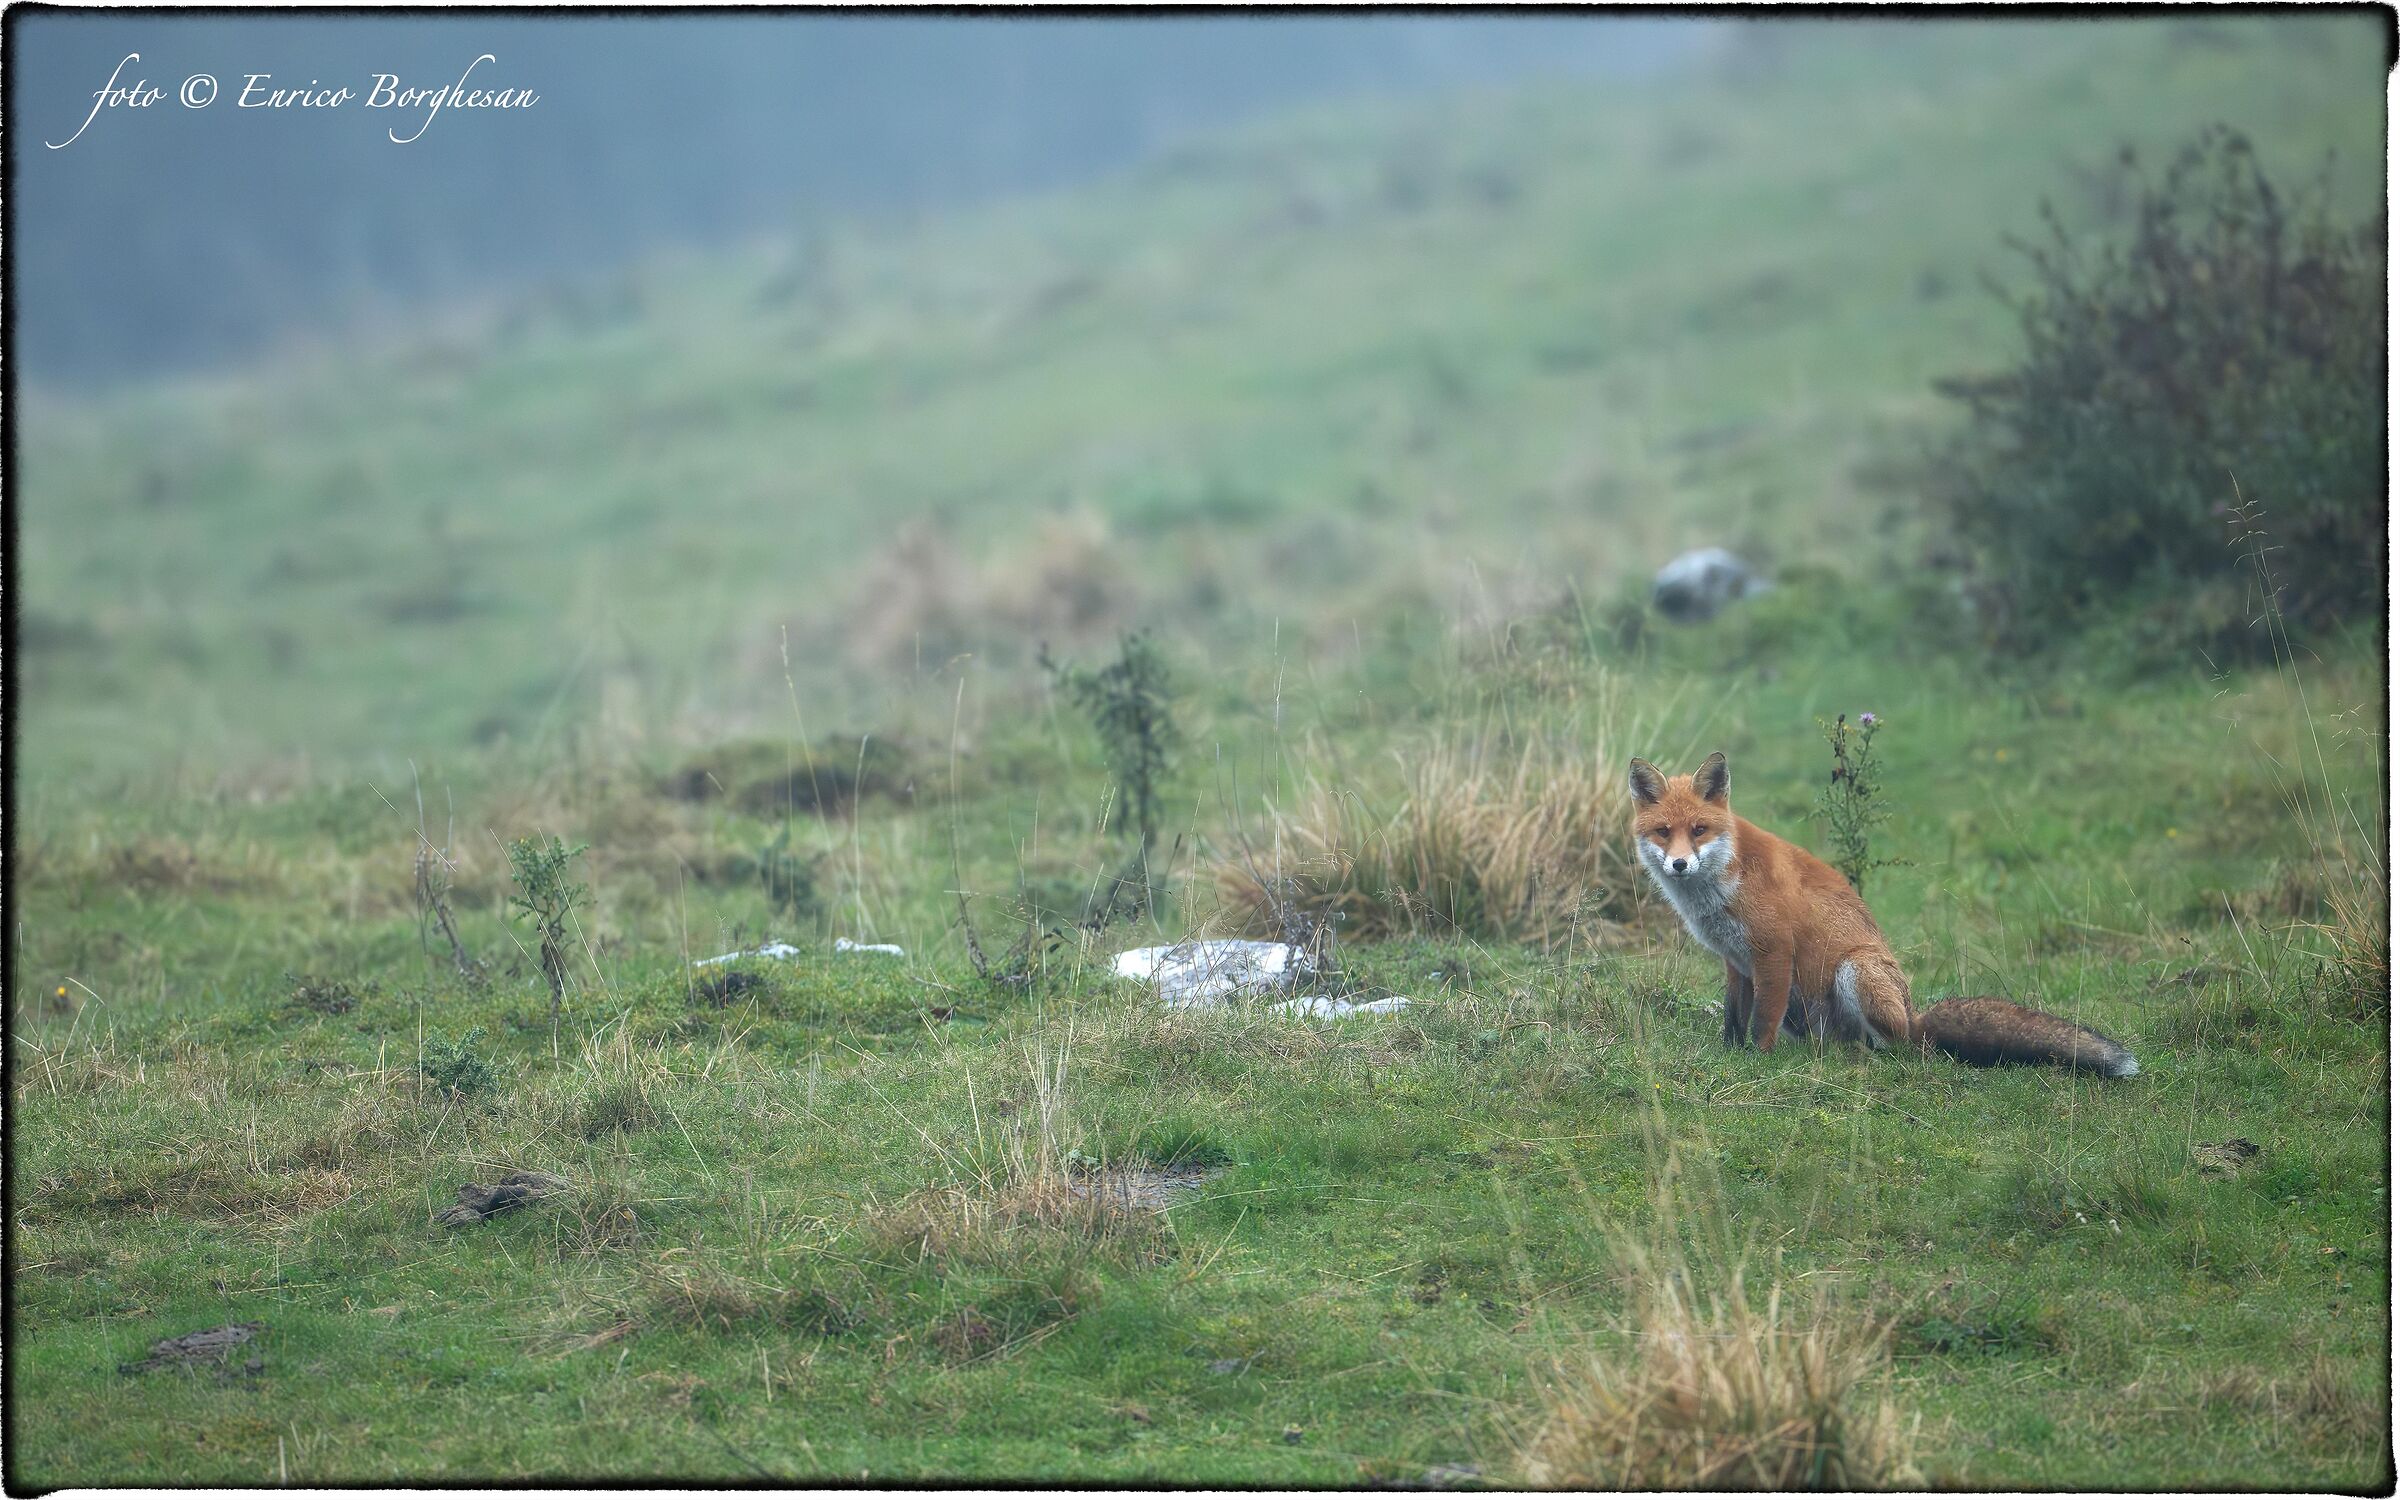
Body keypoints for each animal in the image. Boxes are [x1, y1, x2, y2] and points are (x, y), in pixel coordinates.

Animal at [1627, 751, 2138, 1077]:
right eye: (1663, 832)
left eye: (1698, 830)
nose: (1678, 864)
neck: (1721, 884)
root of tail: (1916, 1020)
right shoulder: (1736, 959)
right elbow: (1735, 1019)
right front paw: (1730, 1056)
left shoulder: (1774, 951)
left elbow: (1761, 1021)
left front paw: (1758, 1062)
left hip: (1856, 969)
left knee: (1899, 1050)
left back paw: (1871, 1058)